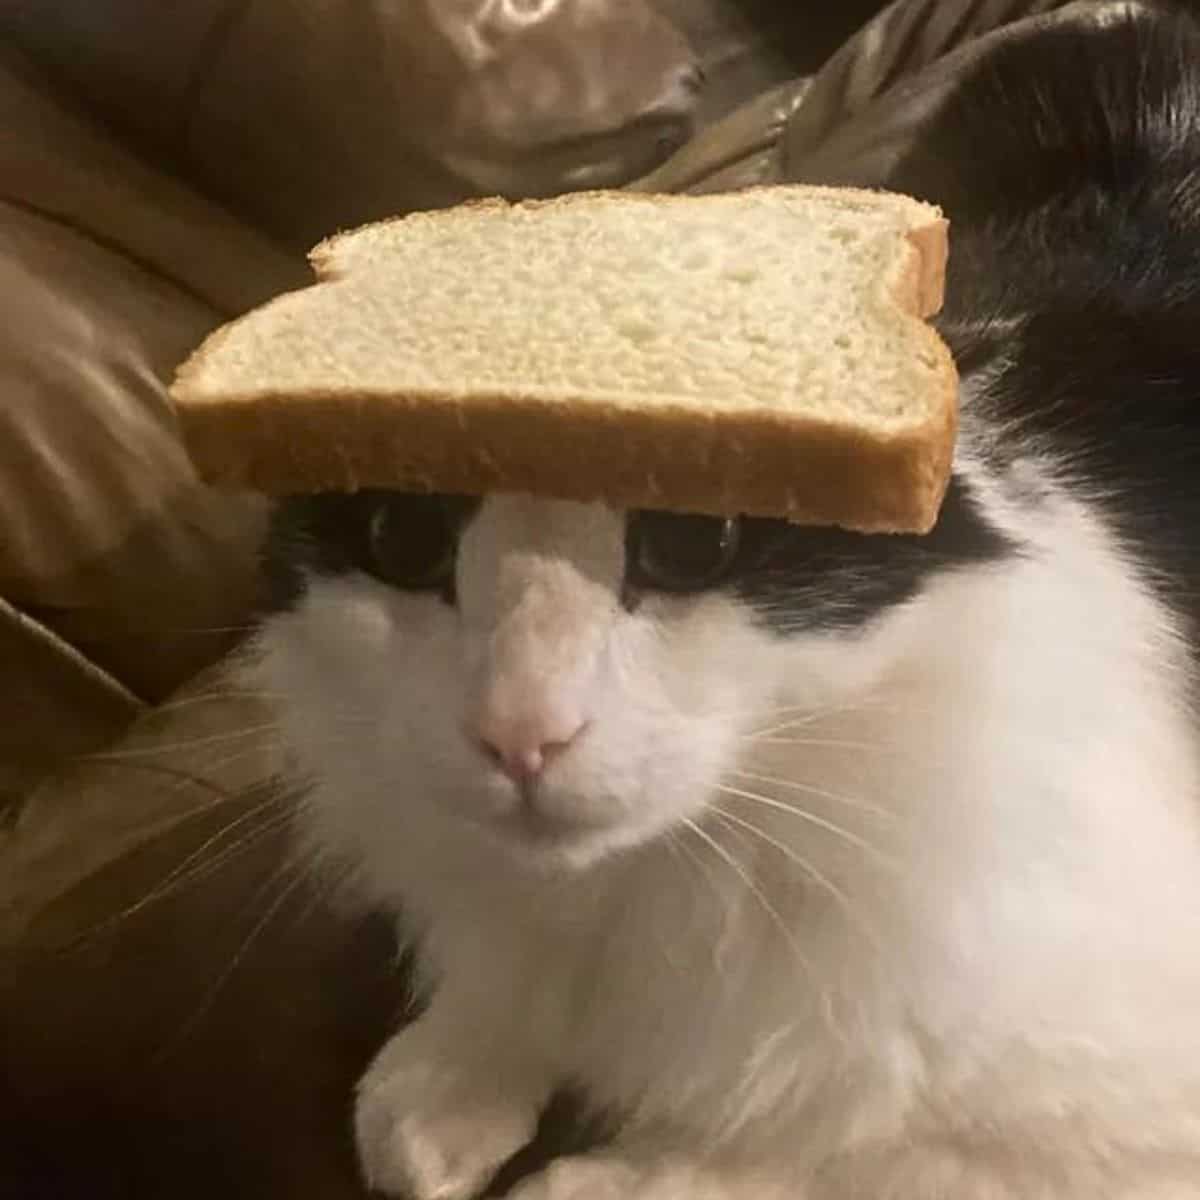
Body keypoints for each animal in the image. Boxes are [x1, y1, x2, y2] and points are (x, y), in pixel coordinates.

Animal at [248, 4, 1200, 1195]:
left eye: (696, 543)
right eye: (404, 538)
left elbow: (810, 1139)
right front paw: (450, 1078)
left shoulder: (1114, 1117)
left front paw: (595, 1175)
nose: (519, 737)